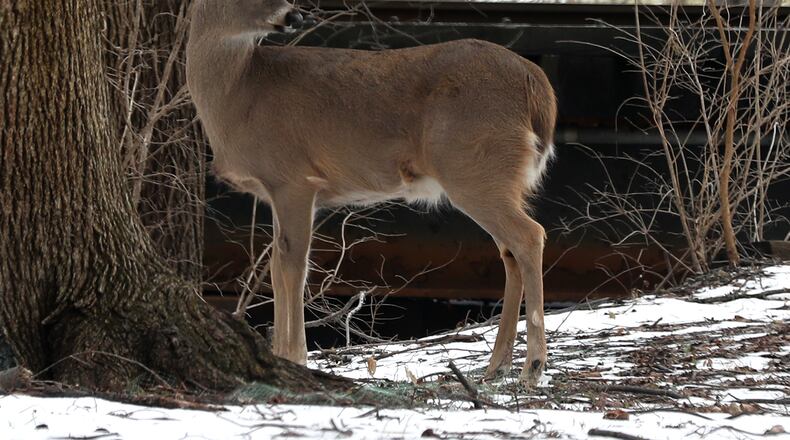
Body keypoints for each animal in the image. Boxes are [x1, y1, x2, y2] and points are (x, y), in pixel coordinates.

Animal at [186, 0, 557, 386]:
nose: (295, 16)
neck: (240, 96)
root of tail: (537, 85)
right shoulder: (276, 190)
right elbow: (276, 263)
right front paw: (280, 354)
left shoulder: (294, 178)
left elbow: (293, 264)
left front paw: (294, 356)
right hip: (493, 176)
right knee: (509, 251)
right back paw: (496, 365)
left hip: (475, 166)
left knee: (529, 236)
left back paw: (533, 367)